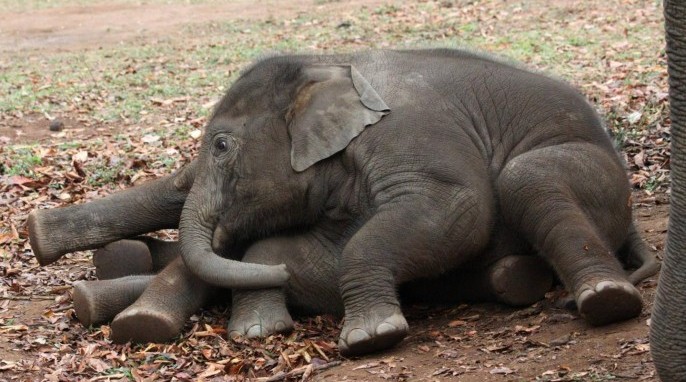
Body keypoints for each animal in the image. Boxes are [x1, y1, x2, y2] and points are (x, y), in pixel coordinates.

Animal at [29, 48, 660, 356]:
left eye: (222, 146)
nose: (33, 231)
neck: (328, 68)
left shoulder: (411, 136)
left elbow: (458, 210)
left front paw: (371, 339)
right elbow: (308, 256)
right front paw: (259, 332)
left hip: (596, 177)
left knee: (527, 177)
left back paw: (603, 301)